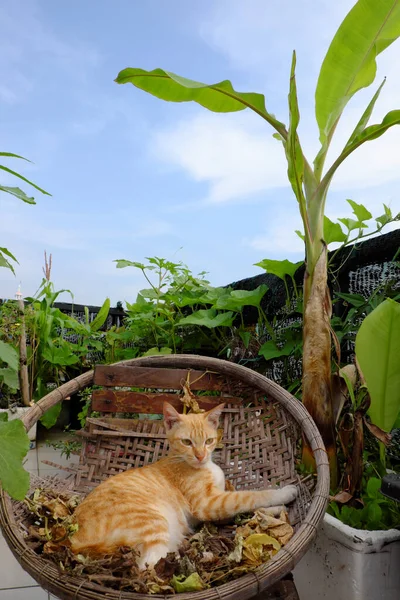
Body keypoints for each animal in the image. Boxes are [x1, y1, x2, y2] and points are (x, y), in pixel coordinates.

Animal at [71, 404, 296, 568]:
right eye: (187, 442)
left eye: (209, 440)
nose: (200, 455)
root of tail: (72, 539)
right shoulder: (208, 503)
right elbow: (251, 496)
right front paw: (284, 493)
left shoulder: (216, 507)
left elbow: (246, 508)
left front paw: (272, 513)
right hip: (153, 522)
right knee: (148, 565)